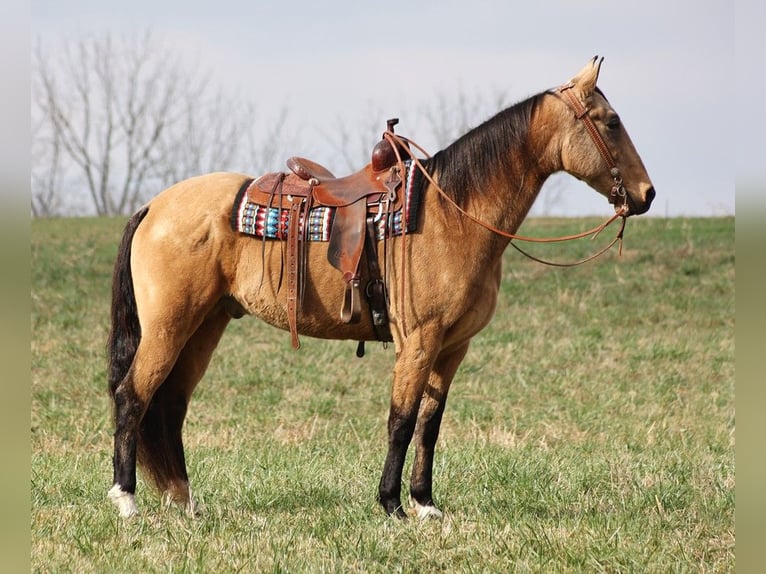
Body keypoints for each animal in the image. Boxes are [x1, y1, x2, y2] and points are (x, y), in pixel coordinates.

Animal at [108, 58, 656, 520]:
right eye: (610, 121)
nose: (646, 194)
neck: (452, 214)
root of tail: (154, 206)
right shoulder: (418, 340)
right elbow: (402, 420)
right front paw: (392, 505)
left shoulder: (452, 347)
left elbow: (430, 425)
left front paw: (426, 504)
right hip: (169, 326)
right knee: (132, 395)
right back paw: (126, 500)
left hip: (205, 325)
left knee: (170, 405)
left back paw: (184, 503)